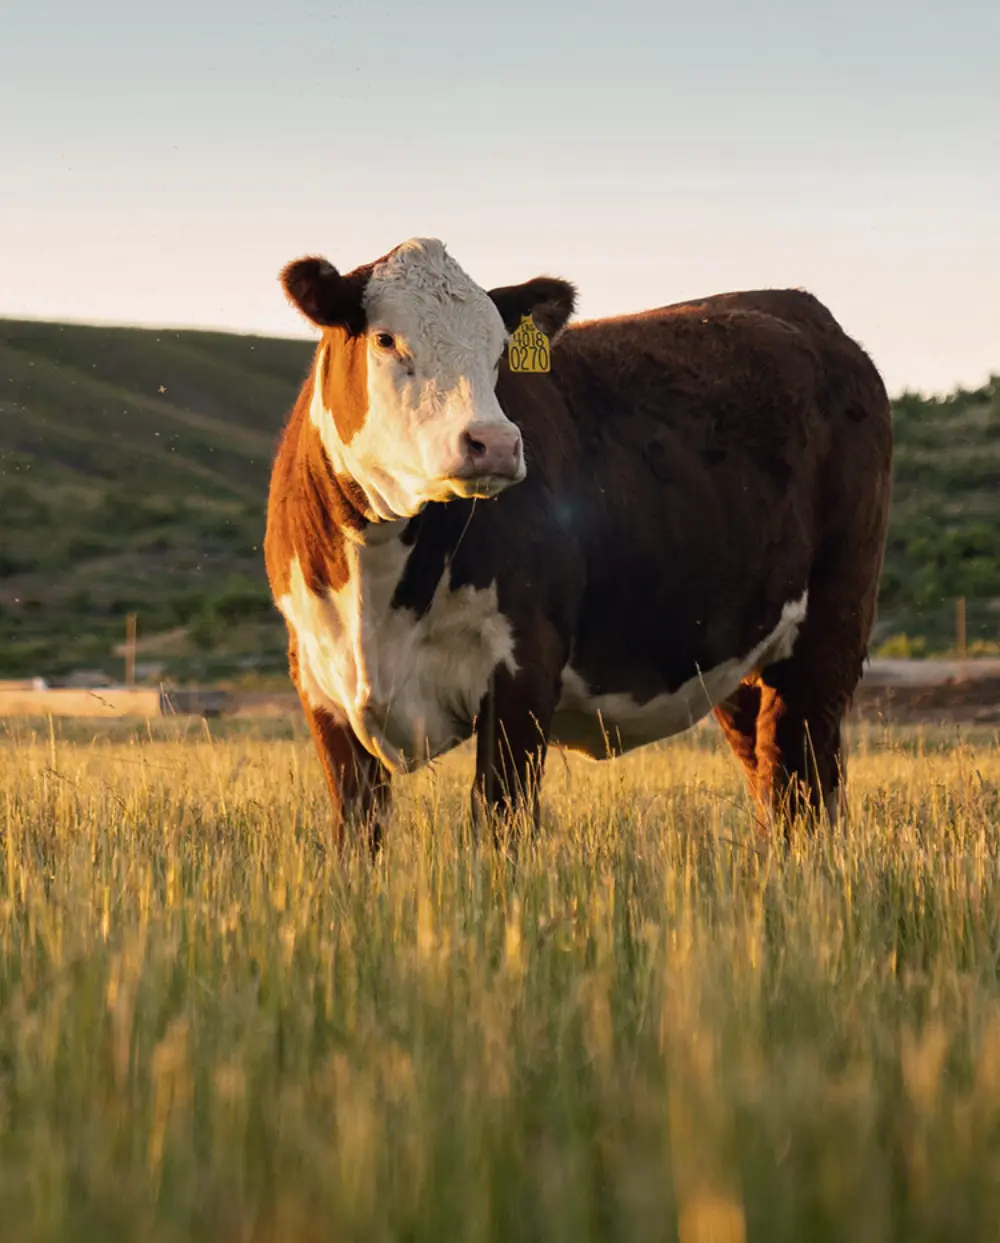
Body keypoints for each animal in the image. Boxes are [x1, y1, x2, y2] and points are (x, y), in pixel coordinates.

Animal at [264, 237, 893, 851]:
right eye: (386, 338)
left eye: (498, 351)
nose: (494, 442)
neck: (376, 592)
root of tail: (804, 310)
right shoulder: (320, 683)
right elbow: (356, 832)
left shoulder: (523, 670)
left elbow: (500, 825)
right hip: (741, 658)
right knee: (774, 776)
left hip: (830, 628)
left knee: (801, 784)